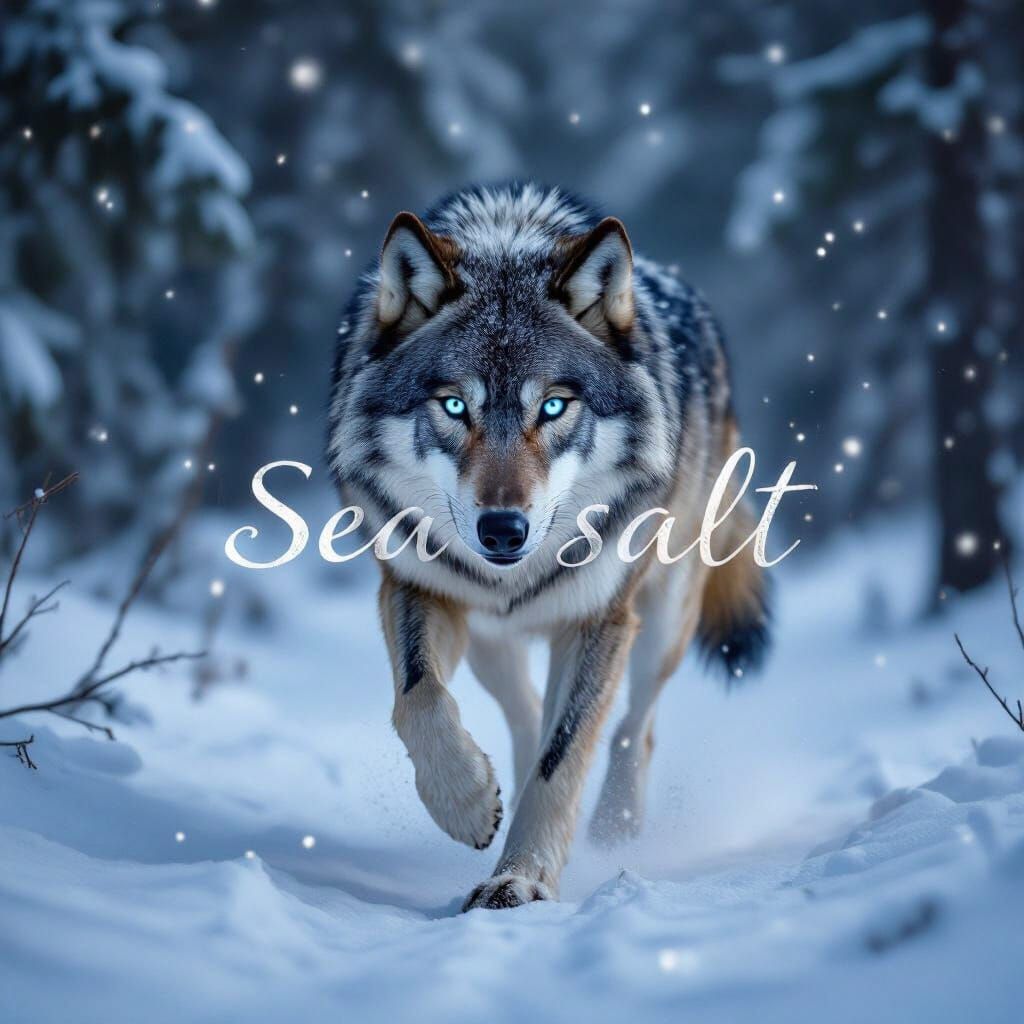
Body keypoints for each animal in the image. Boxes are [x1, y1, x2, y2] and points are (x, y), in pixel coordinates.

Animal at [326, 182, 769, 911]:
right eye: (455, 407)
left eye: (554, 407)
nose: (503, 530)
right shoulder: (417, 585)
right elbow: (419, 698)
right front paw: (467, 803)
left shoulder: (597, 618)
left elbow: (563, 758)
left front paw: (521, 878)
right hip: (491, 641)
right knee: (524, 714)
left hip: (661, 618)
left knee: (635, 724)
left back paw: (617, 823)